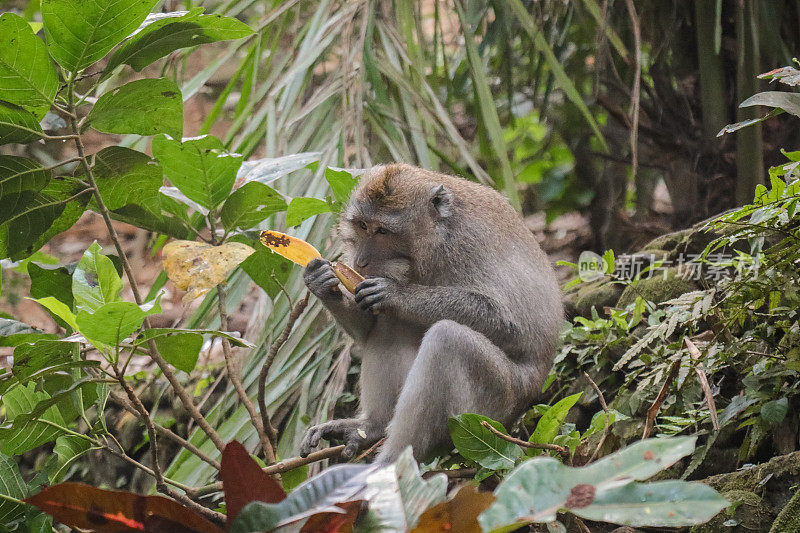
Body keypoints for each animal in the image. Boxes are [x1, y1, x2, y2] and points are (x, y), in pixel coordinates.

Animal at [300, 162, 564, 462]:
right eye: (364, 226)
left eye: (383, 231)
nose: (360, 261)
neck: (437, 237)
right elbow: (368, 324)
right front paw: (321, 283)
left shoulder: (466, 244)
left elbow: (513, 325)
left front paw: (397, 295)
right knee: (391, 324)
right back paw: (373, 425)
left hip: (495, 406)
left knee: (447, 340)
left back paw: (389, 462)